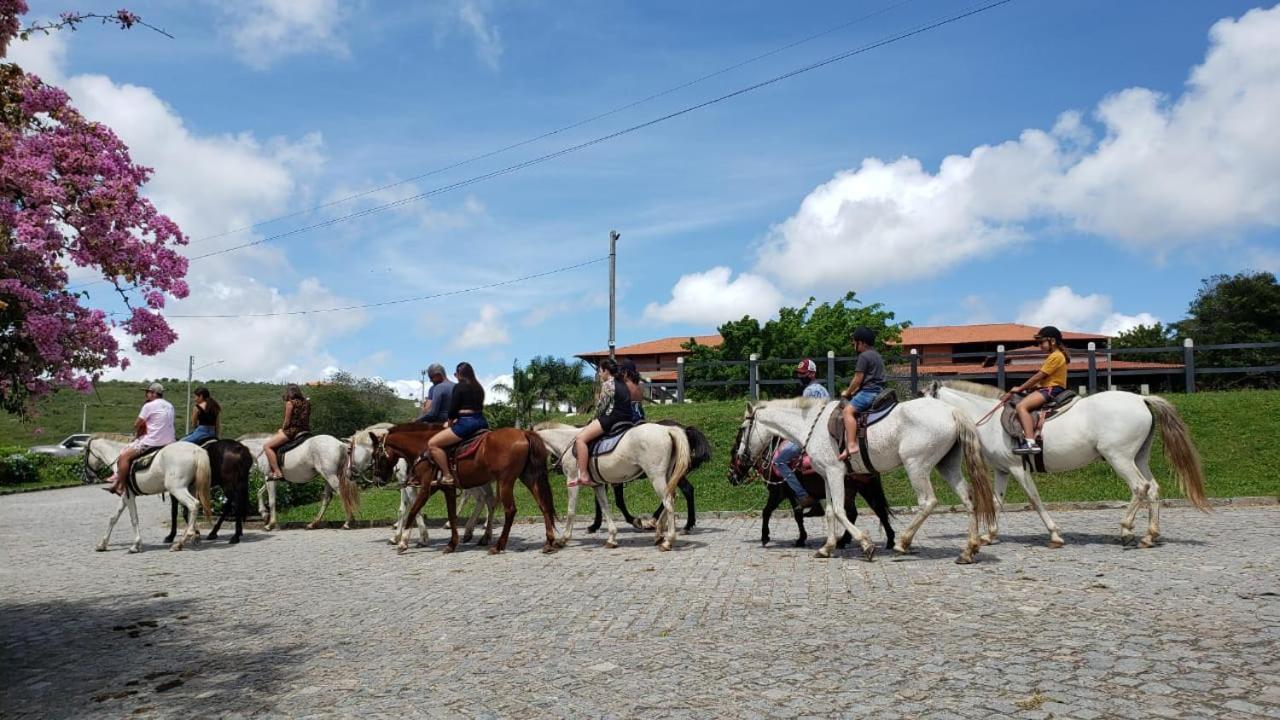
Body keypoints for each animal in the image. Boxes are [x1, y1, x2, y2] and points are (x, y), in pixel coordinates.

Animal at [84, 435, 212, 550]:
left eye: (85, 454)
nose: (88, 476)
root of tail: (196, 450)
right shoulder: (126, 496)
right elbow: (113, 518)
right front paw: (102, 544)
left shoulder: (128, 495)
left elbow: (134, 518)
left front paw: (136, 544)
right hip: (191, 488)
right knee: (190, 511)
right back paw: (188, 538)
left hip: (177, 489)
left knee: (193, 504)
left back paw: (183, 539)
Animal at [366, 422, 555, 550]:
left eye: (375, 455)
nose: (377, 479)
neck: (425, 447)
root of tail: (524, 433)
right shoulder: (444, 488)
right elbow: (450, 513)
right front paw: (451, 542)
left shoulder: (426, 487)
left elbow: (413, 509)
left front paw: (404, 540)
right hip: (528, 477)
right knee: (542, 504)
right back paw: (549, 541)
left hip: (505, 481)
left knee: (508, 509)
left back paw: (498, 545)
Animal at [532, 420, 691, 548]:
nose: (555, 467)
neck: (567, 442)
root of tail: (666, 429)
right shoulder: (598, 485)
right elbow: (605, 508)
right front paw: (612, 538)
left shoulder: (572, 481)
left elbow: (571, 511)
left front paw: (563, 539)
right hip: (667, 476)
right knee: (672, 497)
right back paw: (658, 533)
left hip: (656, 477)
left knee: (668, 501)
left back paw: (668, 540)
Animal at [737, 397, 993, 561]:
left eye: (742, 429)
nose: (741, 457)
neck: (812, 425)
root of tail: (951, 411)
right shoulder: (827, 475)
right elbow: (829, 511)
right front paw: (827, 547)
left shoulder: (835, 472)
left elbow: (839, 511)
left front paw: (865, 544)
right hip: (946, 466)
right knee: (969, 500)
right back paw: (968, 550)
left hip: (916, 466)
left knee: (927, 502)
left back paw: (902, 543)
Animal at [926, 381, 1203, 543]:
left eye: (923, 397)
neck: (991, 421)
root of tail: (1140, 399)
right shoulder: (1002, 470)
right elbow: (997, 501)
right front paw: (989, 534)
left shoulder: (1018, 469)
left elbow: (1034, 500)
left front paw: (1054, 533)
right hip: (1139, 457)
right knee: (1153, 488)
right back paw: (1149, 535)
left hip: (1120, 458)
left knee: (1139, 487)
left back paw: (1126, 528)